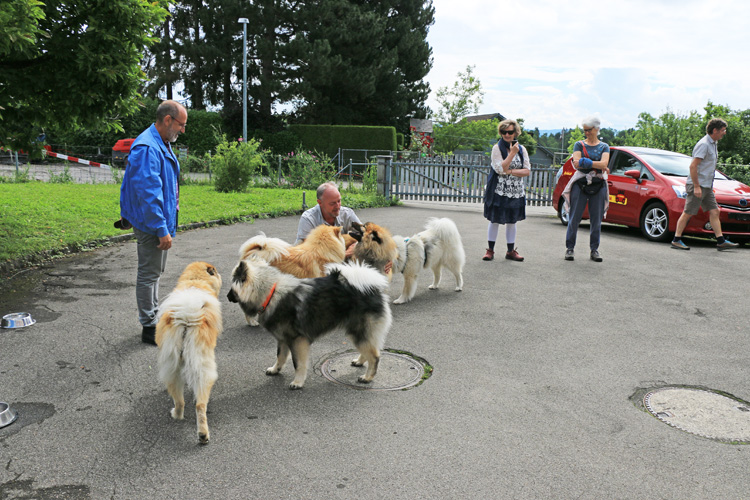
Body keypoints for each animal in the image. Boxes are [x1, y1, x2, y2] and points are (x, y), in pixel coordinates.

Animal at [154, 262, 222, 446]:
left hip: (172, 365)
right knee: (200, 405)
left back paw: (177, 415)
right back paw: (203, 435)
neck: (195, 280)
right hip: (202, 366)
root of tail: (186, 319)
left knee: (180, 400)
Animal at [226, 258, 394, 390]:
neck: (270, 293)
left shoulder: (297, 340)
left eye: (231, 288)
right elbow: (280, 356)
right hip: (356, 332)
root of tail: (372, 288)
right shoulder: (283, 338)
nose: (227, 296)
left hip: (359, 331)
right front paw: (275, 370)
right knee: (369, 350)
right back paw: (359, 361)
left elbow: (297, 363)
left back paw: (367, 377)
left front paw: (297, 382)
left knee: (374, 355)